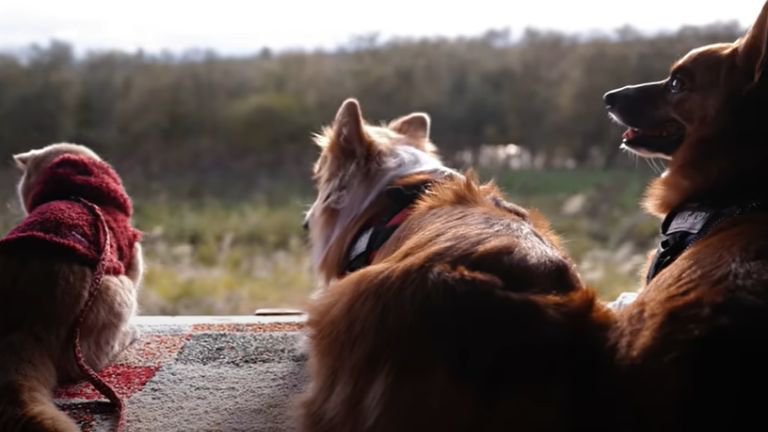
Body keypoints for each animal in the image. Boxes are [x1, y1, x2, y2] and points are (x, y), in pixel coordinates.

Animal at [0, 143, 143, 430]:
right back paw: (130, 333)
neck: (74, 192)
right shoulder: (132, 257)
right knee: (87, 363)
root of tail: (22, 327)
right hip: (118, 292)